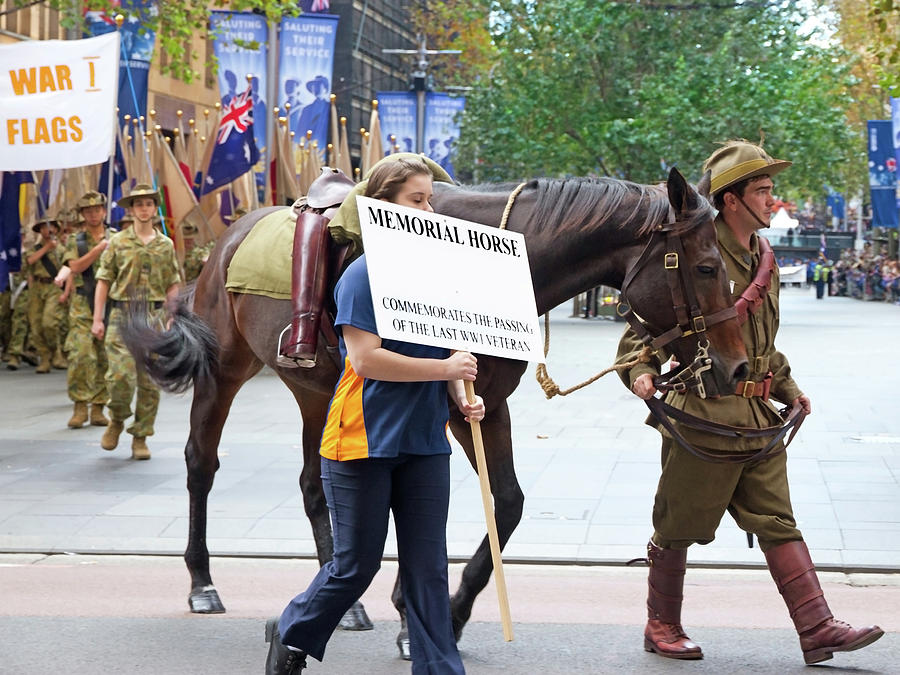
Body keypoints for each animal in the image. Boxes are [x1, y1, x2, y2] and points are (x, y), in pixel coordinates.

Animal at [121, 168, 752, 644]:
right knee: (201, 464)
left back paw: (343, 600)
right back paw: (202, 582)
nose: (738, 367)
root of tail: (226, 241)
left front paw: (445, 610)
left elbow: (507, 502)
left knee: (312, 485)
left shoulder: (486, 404)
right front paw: (418, 613)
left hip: (312, 391)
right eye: (706, 267)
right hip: (224, 371)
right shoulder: (441, 405)